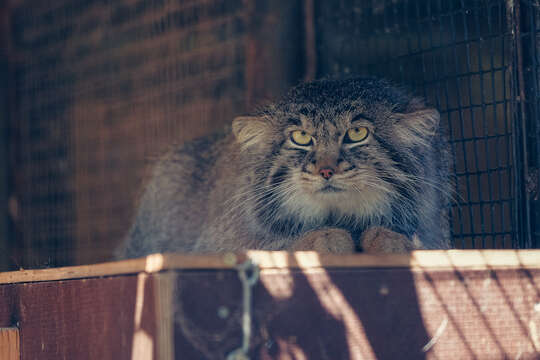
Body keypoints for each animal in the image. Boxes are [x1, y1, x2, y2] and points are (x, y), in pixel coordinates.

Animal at [118, 77, 452, 258]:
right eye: (301, 138)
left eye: (357, 133)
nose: (325, 170)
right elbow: (275, 246)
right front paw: (322, 238)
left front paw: (391, 240)